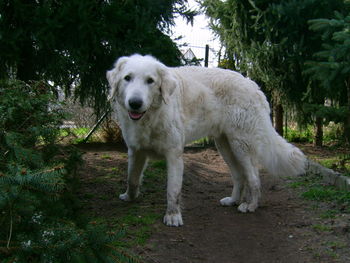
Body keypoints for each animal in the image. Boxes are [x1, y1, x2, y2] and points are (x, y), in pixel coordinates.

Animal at [107, 53, 306, 227]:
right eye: (127, 78)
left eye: (150, 81)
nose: (135, 103)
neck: (150, 117)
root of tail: (252, 84)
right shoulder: (135, 151)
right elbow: (132, 179)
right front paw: (129, 197)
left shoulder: (174, 155)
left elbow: (172, 191)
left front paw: (173, 216)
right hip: (225, 146)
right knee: (239, 176)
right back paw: (233, 200)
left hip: (240, 146)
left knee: (254, 178)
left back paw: (250, 206)